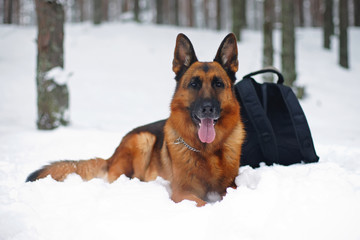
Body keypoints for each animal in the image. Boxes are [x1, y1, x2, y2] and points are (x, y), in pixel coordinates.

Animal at [27, 33, 245, 206]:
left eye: (218, 84)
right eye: (194, 84)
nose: (208, 109)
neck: (207, 151)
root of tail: (111, 157)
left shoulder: (231, 186)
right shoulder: (181, 192)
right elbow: (202, 203)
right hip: (143, 140)